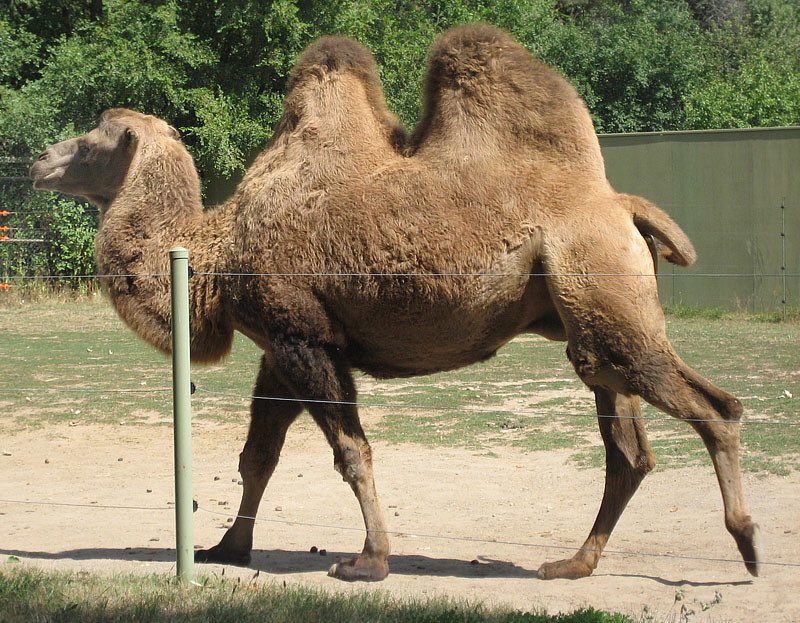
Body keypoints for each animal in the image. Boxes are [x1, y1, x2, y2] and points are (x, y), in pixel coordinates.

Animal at [30, 23, 759, 582]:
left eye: (94, 136)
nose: (39, 159)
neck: (216, 250)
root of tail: (624, 207)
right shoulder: (281, 345)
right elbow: (258, 454)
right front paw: (226, 549)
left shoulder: (304, 338)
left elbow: (352, 452)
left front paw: (369, 561)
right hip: (593, 319)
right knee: (629, 449)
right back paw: (572, 564)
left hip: (601, 292)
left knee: (714, 407)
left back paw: (747, 541)